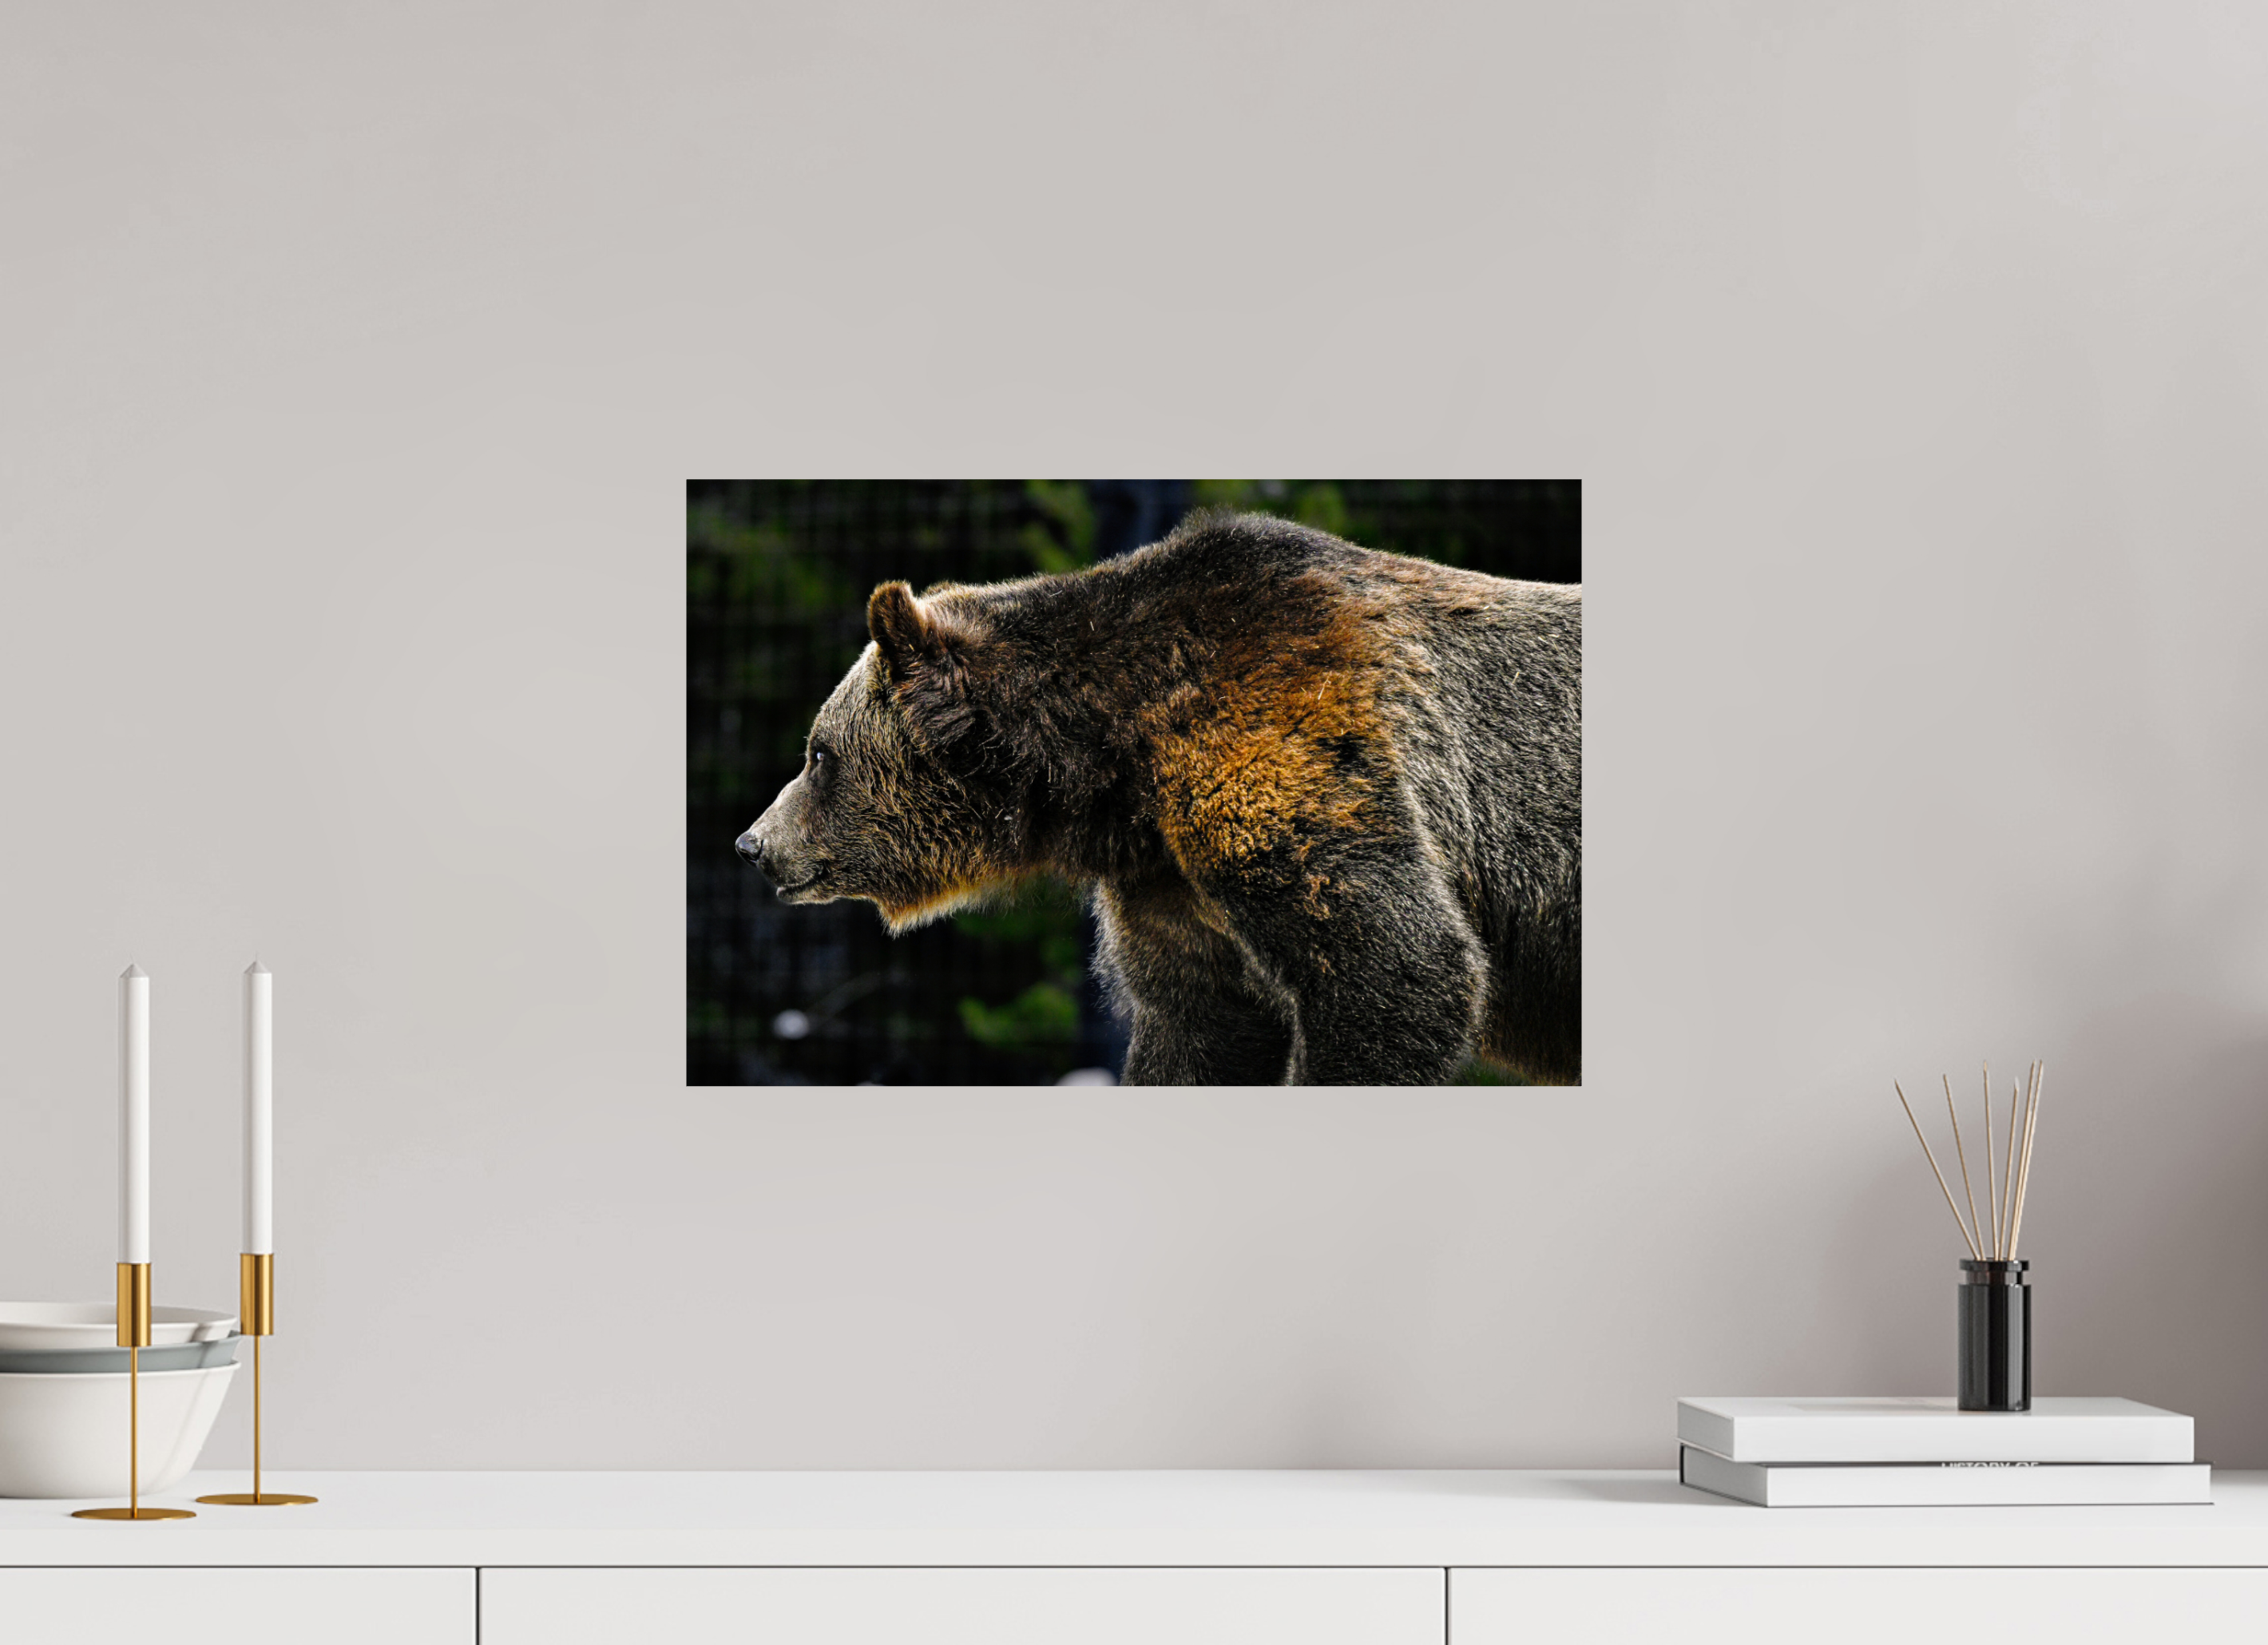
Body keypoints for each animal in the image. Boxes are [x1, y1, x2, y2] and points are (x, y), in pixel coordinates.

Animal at [735, 511, 1581, 1085]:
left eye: (819, 754)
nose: (753, 843)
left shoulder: (1280, 756)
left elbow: (1400, 970)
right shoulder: (1169, 882)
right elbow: (1197, 1026)